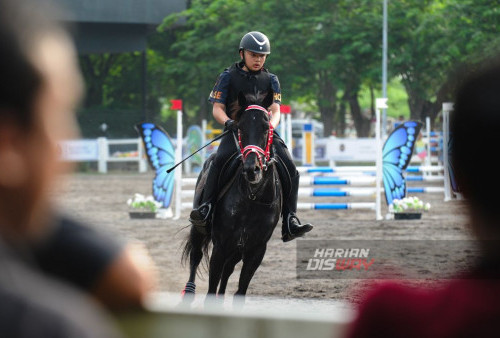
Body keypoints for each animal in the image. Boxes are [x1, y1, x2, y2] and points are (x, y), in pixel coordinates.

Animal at [181, 91, 284, 302]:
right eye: (240, 128)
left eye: (266, 128)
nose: (252, 169)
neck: (252, 197)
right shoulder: (221, 246)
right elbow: (211, 286)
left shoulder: (256, 250)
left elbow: (240, 290)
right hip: (200, 229)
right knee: (196, 256)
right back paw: (189, 291)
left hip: (237, 249)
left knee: (228, 269)